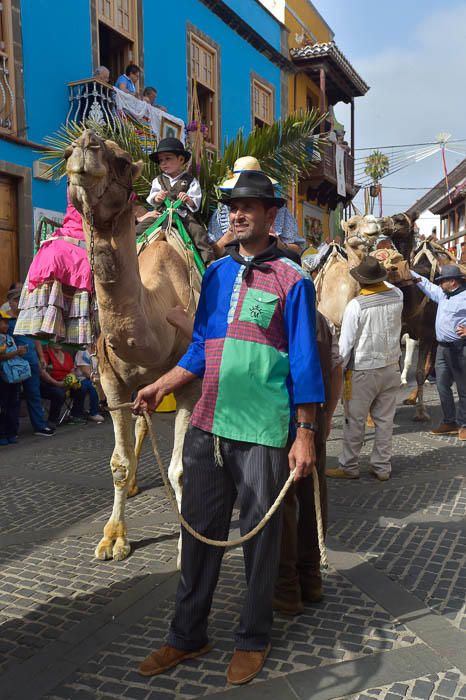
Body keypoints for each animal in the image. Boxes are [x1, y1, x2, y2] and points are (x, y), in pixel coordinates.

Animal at [64, 129, 199, 560]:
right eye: (67, 152)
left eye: (122, 160)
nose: (85, 144)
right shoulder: (111, 382)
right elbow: (118, 463)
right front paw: (112, 538)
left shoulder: (188, 382)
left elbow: (179, 469)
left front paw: (186, 543)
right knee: (141, 423)